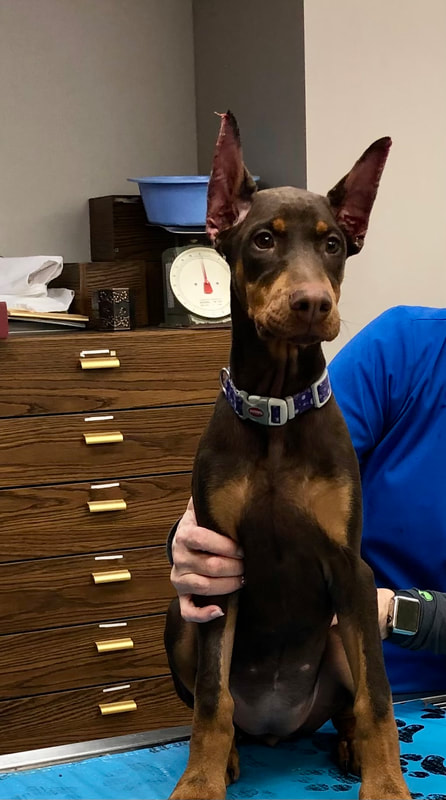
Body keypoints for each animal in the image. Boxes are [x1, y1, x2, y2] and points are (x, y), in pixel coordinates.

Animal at [165, 112, 412, 800]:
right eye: (263, 240)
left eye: (333, 245)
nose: (312, 304)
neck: (277, 406)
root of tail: (279, 727)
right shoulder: (219, 565)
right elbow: (212, 702)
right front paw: (200, 781)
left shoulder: (351, 570)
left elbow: (381, 699)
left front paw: (388, 785)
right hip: (182, 622)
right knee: (219, 703)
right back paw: (229, 755)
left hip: (341, 633)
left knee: (352, 704)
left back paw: (351, 748)